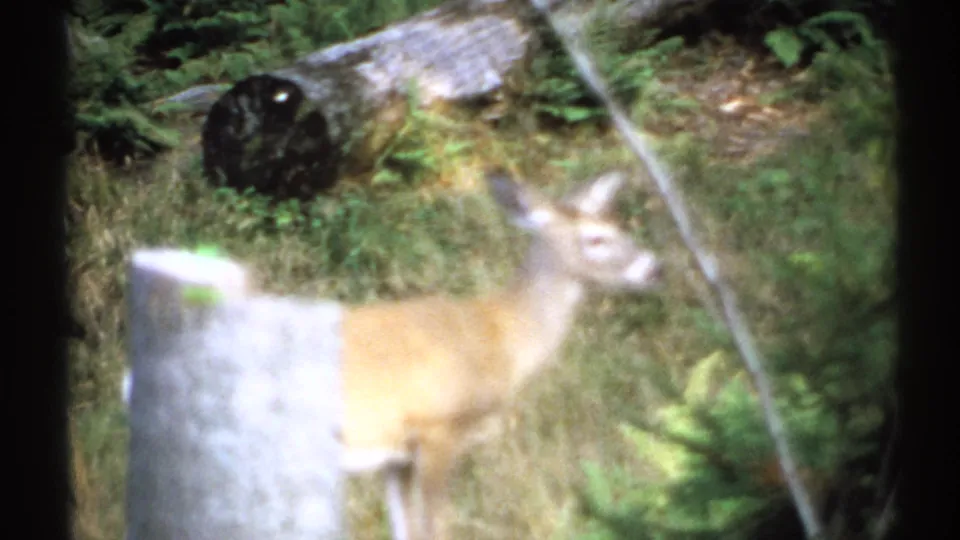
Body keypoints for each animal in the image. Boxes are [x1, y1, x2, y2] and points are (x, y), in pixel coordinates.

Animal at [339, 169, 664, 540]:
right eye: (596, 239)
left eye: (620, 227)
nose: (656, 268)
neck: (500, 337)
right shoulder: (438, 427)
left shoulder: (397, 456)